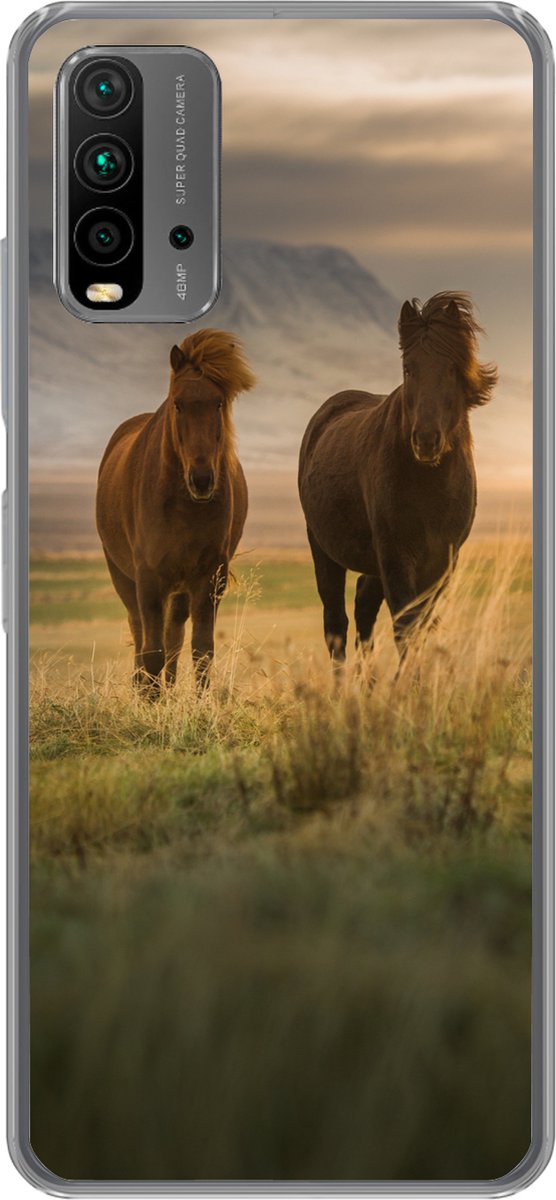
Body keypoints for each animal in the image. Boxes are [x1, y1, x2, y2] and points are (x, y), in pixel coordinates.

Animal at [96, 329, 256, 694]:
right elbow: (151, 651)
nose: (202, 479)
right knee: (141, 634)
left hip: (180, 588)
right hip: (124, 577)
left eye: (219, 402)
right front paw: (149, 702)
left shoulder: (208, 577)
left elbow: (200, 651)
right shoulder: (148, 578)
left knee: (174, 638)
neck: (183, 506)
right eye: (177, 403)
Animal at [298, 292, 497, 667]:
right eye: (409, 368)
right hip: (324, 551)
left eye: (452, 368)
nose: (426, 440)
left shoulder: (442, 563)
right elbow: (406, 627)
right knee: (336, 624)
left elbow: (420, 627)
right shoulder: (396, 557)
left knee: (363, 607)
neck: (430, 486)